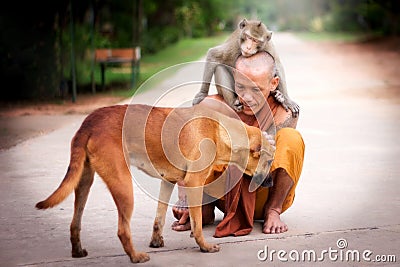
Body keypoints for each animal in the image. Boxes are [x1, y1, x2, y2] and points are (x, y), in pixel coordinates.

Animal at [35, 104, 276, 264]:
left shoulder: (168, 181)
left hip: (84, 182)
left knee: (75, 223)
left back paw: (78, 251)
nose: (272, 182)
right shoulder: (194, 183)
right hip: (123, 186)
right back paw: (135, 257)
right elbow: (197, 222)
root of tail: (89, 122)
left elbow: (159, 217)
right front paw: (204, 246)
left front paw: (157, 240)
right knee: (122, 230)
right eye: (268, 162)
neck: (222, 132)